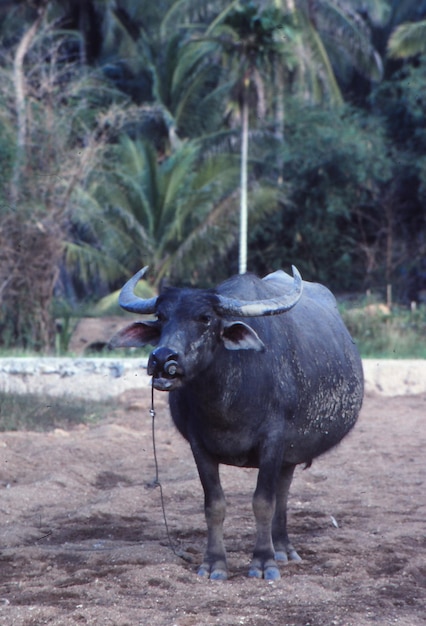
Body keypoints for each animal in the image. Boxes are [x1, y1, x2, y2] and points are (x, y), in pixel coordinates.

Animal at [110, 264, 362, 580]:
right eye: (161, 317)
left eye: (205, 318)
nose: (162, 358)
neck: (227, 399)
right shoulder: (198, 445)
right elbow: (214, 505)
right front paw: (214, 563)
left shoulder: (274, 440)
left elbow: (263, 502)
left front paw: (264, 562)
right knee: (283, 489)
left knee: (281, 494)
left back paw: (282, 550)